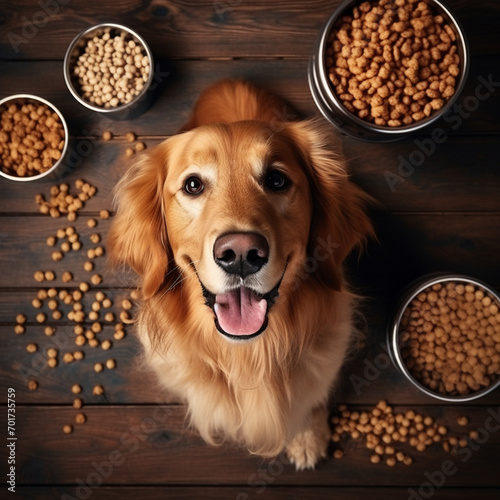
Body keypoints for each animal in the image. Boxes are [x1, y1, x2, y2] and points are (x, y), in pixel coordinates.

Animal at [110, 79, 376, 468]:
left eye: (277, 180)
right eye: (193, 185)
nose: (240, 254)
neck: (250, 356)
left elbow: (308, 402)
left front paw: (307, 436)